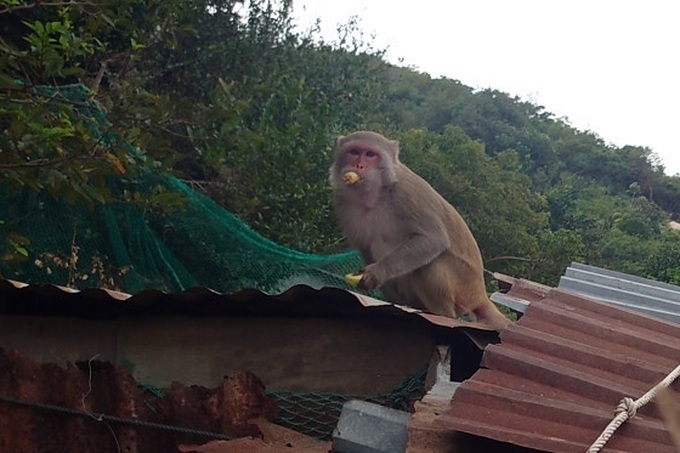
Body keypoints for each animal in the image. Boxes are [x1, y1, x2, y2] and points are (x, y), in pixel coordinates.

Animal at [328, 130, 510, 328]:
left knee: (431, 264)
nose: (359, 165)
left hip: (464, 288)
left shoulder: (406, 192)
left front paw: (378, 271)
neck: (376, 195)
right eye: (354, 152)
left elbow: (433, 239)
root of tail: (480, 294)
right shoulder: (343, 202)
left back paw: (444, 315)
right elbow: (366, 249)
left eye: (370, 154)